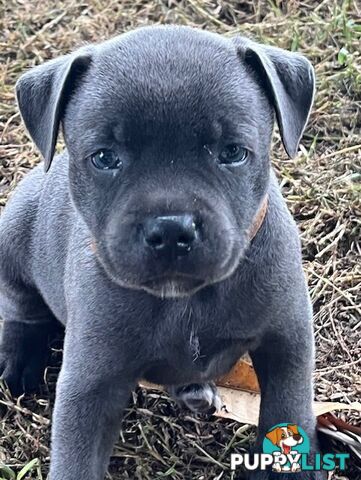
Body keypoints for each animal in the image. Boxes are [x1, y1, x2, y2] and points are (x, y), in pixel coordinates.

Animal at [0, 27, 320, 480]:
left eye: (232, 152)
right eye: (105, 158)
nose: (170, 229)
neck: (186, 299)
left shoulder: (287, 342)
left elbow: (287, 407)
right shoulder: (89, 384)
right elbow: (76, 459)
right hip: (13, 233)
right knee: (20, 306)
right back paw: (19, 359)